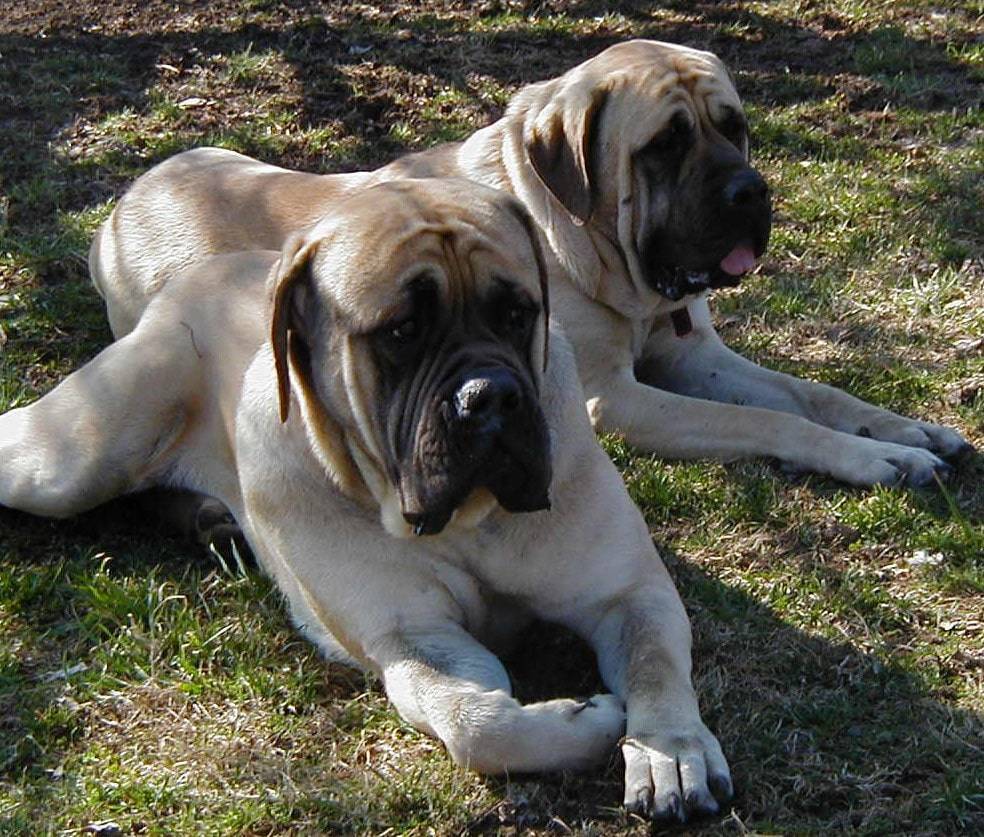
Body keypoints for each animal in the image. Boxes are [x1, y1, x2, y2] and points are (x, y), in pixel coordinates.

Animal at [1, 180, 732, 820]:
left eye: (517, 313)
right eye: (401, 331)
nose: (490, 395)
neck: (465, 519)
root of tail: (199, 272)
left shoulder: (628, 590)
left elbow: (654, 663)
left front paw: (669, 750)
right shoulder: (409, 638)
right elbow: (478, 726)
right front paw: (589, 719)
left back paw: (209, 520)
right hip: (73, 459)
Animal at [90, 37, 968, 484]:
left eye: (734, 126)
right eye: (665, 144)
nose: (750, 191)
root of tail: (121, 205)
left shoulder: (695, 356)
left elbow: (810, 393)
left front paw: (905, 429)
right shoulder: (613, 397)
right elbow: (764, 419)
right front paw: (875, 457)